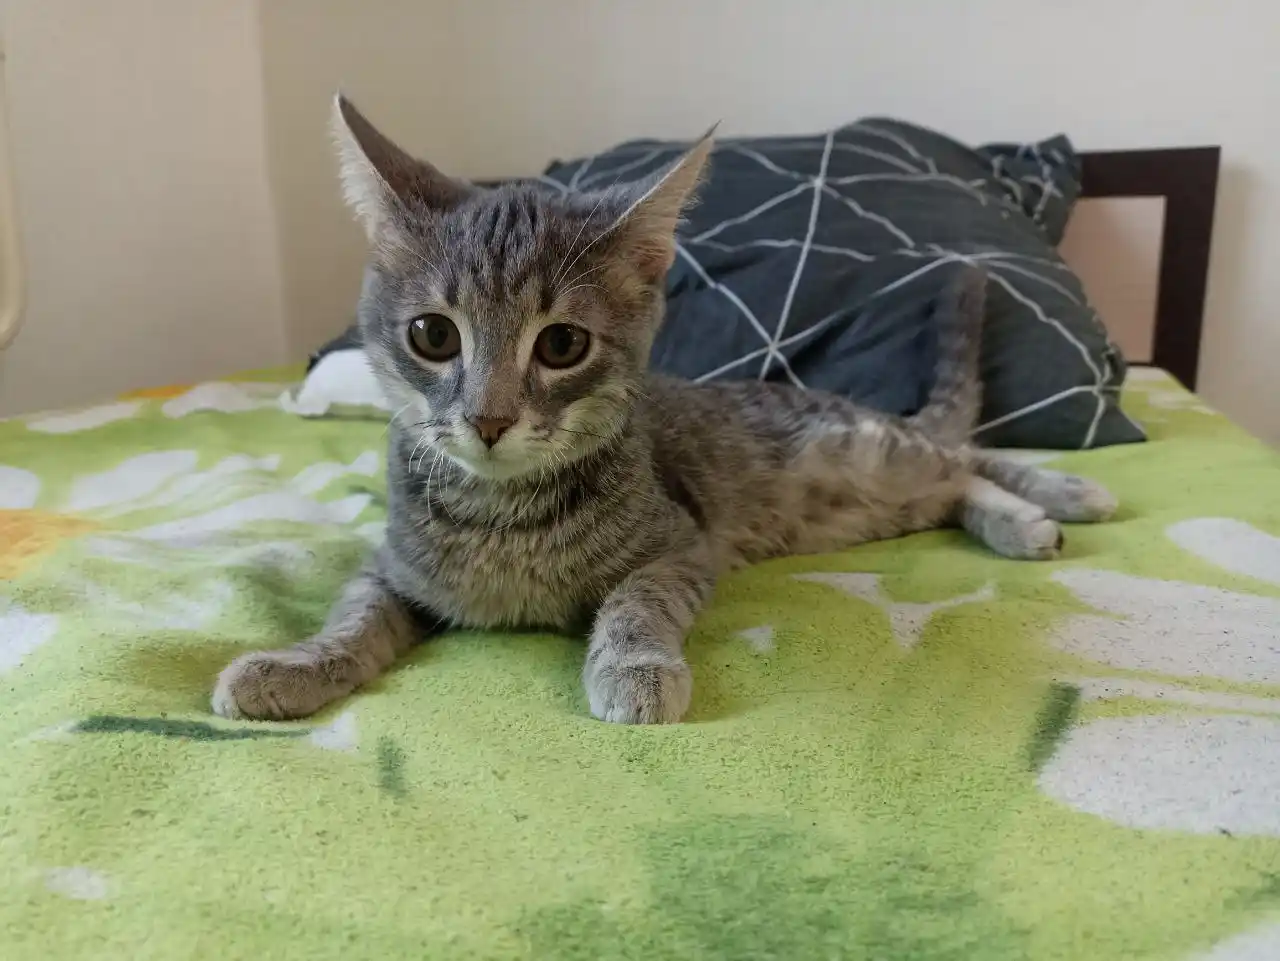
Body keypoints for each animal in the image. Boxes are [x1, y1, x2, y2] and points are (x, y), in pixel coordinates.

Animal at [211, 95, 1117, 725]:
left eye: (562, 344)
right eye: (432, 334)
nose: (489, 418)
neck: (502, 517)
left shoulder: (684, 543)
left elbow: (636, 600)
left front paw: (633, 666)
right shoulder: (394, 565)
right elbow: (355, 613)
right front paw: (291, 665)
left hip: (862, 450)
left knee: (961, 455)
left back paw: (1058, 497)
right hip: (867, 504)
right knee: (951, 478)